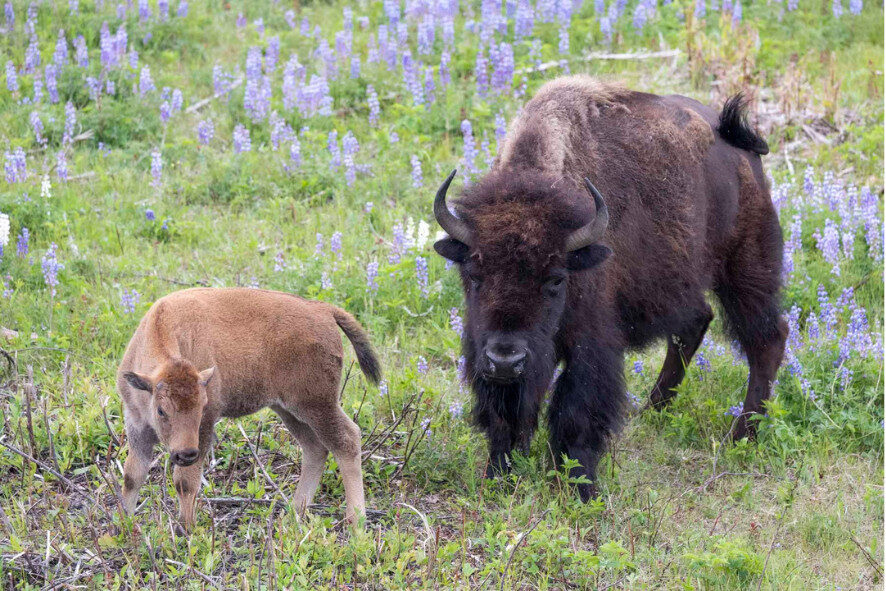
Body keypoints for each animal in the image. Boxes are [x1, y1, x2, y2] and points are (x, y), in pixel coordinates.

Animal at [117, 288, 381, 528]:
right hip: (289, 410)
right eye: (161, 410)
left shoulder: (204, 427)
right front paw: (124, 524)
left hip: (317, 405)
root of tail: (324, 310)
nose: (186, 454)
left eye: (202, 407)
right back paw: (294, 514)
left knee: (346, 440)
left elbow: (185, 481)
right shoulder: (136, 423)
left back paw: (356, 522)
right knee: (315, 449)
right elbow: (132, 476)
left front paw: (187, 529)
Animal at [432, 76, 786, 500]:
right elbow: (506, 416)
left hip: (745, 268)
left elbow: (576, 414)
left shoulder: (590, 345)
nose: (505, 360)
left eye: (556, 279)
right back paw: (652, 411)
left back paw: (741, 436)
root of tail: (734, 139)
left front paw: (582, 489)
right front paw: (498, 478)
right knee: (695, 323)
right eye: (473, 274)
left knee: (766, 339)